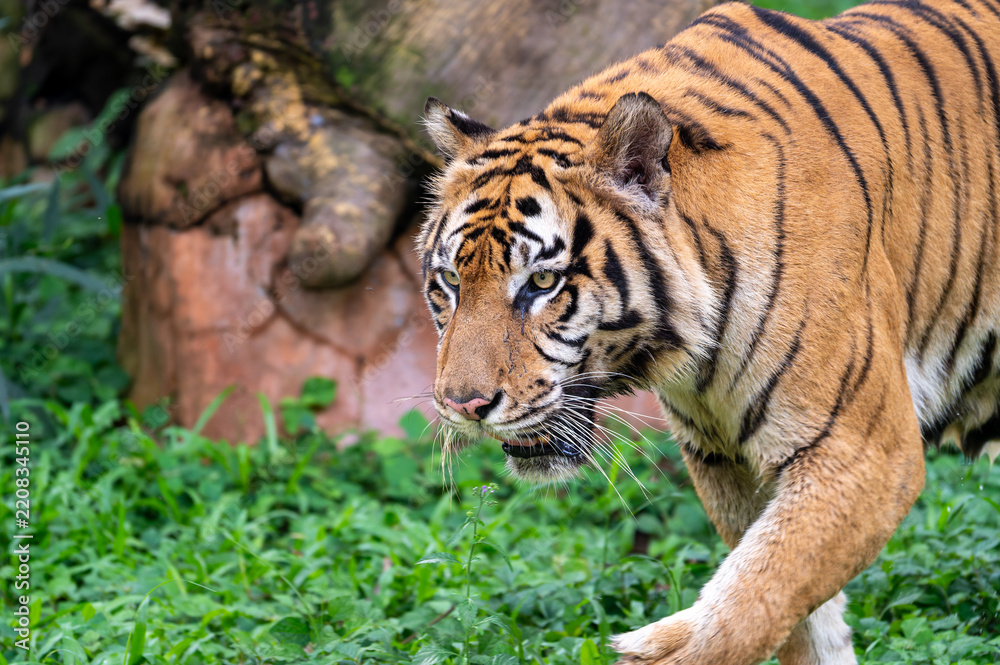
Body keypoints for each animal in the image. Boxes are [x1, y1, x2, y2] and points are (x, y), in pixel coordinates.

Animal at [417, 0, 1000, 663]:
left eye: (541, 282)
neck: (695, 351)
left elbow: (749, 604)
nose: (463, 406)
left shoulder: (861, 452)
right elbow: (792, 611)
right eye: (450, 282)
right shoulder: (724, 458)